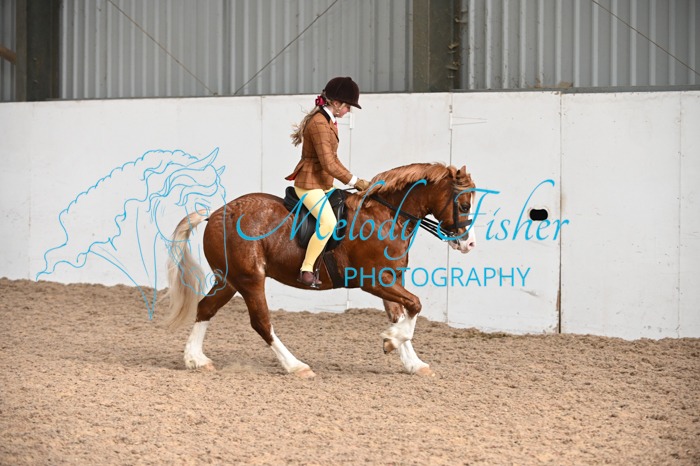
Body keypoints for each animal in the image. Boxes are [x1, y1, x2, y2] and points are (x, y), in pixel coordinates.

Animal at [165, 162, 476, 378]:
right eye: (463, 204)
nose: (469, 243)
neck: (386, 216)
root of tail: (215, 214)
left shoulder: (390, 279)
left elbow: (403, 313)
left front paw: (412, 361)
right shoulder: (373, 280)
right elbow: (415, 304)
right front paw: (390, 341)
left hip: (229, 280)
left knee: (206, 308)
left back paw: (195, 359)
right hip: (250, 279)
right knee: (261, 322)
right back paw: (296, 366)